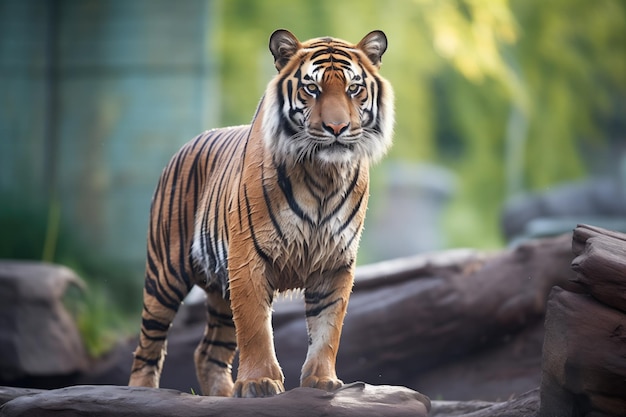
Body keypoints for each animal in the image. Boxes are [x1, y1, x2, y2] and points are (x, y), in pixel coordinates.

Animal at [127, 28, 392, 396]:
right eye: (312, 89)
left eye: (354, 88)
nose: (337, 128)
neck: (323, 177)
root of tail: (186, 144)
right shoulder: (247, 258)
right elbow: (255, 327)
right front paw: (260, 382)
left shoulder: (335, 264)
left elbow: (328, 329)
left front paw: (321, 381)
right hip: (165, 275)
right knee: (148, 344)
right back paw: (140, 392)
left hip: (219, 290)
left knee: (208, 352)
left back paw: (223, 396)